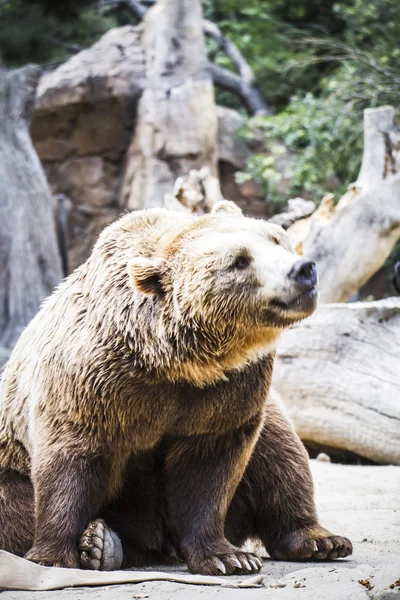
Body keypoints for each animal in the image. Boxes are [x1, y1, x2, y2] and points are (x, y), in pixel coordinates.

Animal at [0, 203, 350, 576]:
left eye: (277, 239)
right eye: (239, 260)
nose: (303, 269)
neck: (176, 362)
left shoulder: (229, 390)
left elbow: (209, 468)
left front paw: (228, 557)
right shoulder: (92, 382)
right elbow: (69, 458)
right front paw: (53, 556)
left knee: (280, 452)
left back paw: (320, 540)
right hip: (10, 470)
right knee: (15, 511)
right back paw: (102, 544)